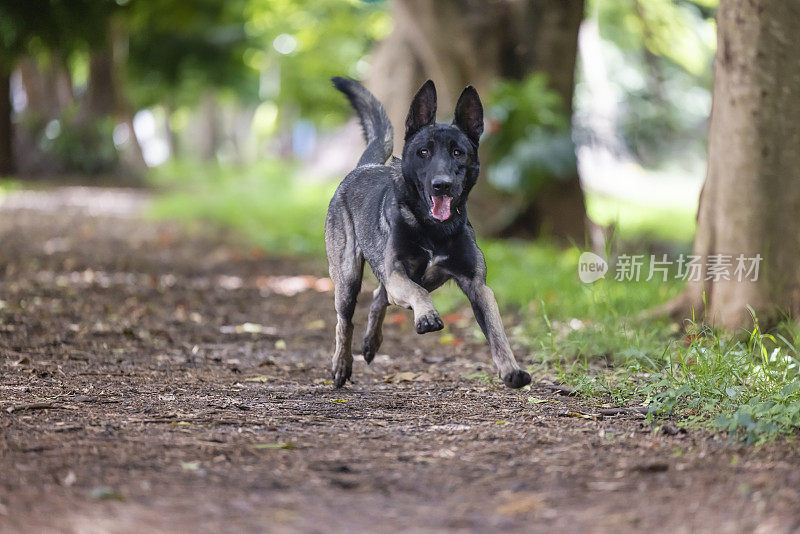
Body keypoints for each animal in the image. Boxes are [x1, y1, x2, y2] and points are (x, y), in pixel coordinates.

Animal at [324, 77, 532, 392]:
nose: (441, 185)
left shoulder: (477, 286)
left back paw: (371, 343)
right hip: (347, 278)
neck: (434, 229)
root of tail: (365, 166)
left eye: (458, 153)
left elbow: (497, 332)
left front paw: (511, 370)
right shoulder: (398, 273)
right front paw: (427, 316)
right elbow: (415, 292)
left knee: (379, 295)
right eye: (424, 152)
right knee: (344, 322)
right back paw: (341, 364)